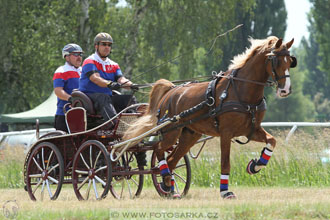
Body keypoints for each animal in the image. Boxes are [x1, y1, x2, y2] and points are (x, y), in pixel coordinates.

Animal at [123, 35, 296, 198]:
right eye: (276, 61)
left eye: (290, 62)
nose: (285, 90)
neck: (241, 90)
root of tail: (170, 91)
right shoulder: (226, 133)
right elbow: (225, 163)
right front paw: (225, 192)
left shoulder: (250, 130)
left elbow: (272, 141)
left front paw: (255, 165)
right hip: (171, 132)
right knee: (158, 148)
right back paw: (164, 178)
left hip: (190, 135)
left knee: (171, 160)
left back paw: (168, 187)